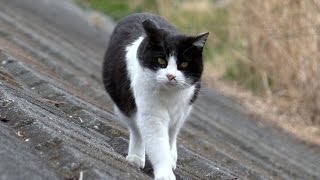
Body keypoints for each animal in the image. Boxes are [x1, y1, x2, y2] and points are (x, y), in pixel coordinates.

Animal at [102, 13, 208, 180]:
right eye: (161, 60)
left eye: (184, 64)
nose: (171, 76)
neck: (170, 94)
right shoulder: (150, 113)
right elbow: (157, 143)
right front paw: (165, 173)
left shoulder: (184, 107)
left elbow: (171, 135)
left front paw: (170, 159)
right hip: (122, 103)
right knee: (136, 129)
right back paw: (136, 157)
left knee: (173, 132)